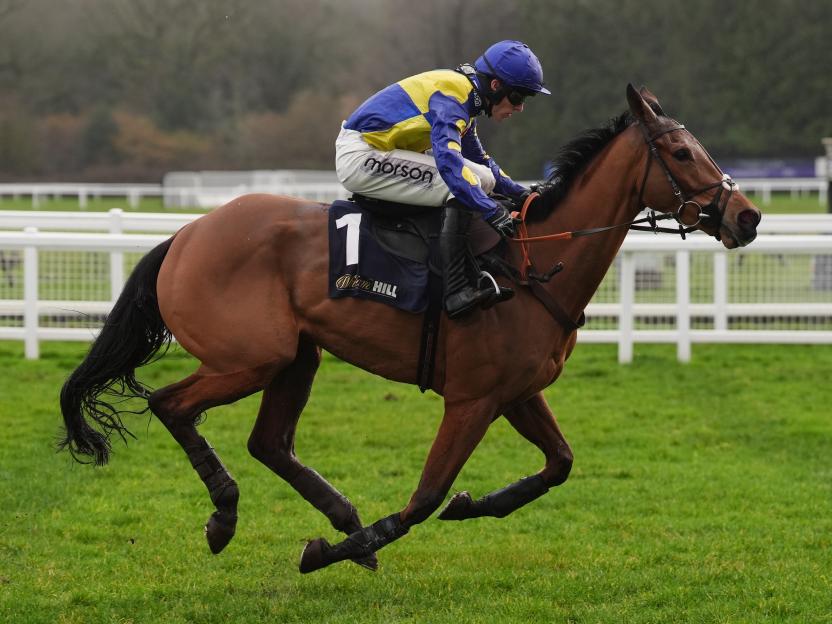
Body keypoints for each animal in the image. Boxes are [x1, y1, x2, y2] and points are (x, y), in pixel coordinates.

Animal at [59, 85, 761, 574]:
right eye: (681, 152)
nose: (748, 216)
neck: (530, 264)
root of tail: (184, 235)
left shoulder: (517, 391)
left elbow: (559, 464)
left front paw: (472, 505)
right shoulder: (473, 398)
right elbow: (423, 499)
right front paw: (325, 553)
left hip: (297, 355)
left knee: (269, 443)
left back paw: (340, 518)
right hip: (250, 357)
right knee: (170, 404)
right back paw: (228, 516)